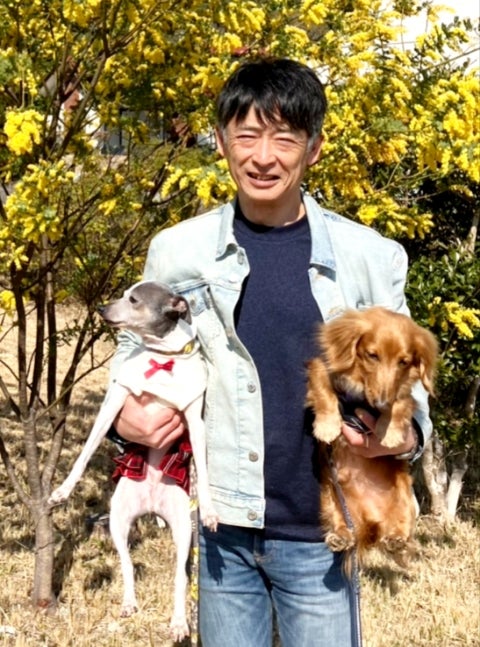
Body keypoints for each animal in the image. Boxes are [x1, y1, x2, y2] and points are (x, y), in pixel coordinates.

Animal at [49, 280, 219, 640]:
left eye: (134, 300)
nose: (101, 308)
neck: (163, 360)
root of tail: (151, 505)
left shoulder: (194, 419)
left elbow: (204, 469)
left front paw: (211, 511)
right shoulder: (116, 402)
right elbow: (85, 451)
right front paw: (62, 491)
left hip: (183, 531)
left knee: (181, 577)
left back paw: (179, 622)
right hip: (118, 521)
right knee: (127, 564)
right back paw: (129, 603)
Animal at [306, 306, 437, 566]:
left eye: (403, 362)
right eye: (372, 355)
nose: (381, 403)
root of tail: (371, 522)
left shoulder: (403, 393)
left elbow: (400, 403)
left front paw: (390, 433)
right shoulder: (322, 368)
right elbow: (323, 388)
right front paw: (327, 425)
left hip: (406, 497)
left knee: (402, 532)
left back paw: (397, 539)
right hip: (330, 495)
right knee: (341, 522)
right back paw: (341, 535)